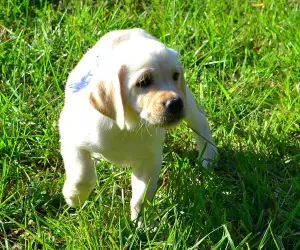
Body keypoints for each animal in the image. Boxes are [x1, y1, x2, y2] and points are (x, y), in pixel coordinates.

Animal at [59, 27, 218, 221]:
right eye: (144, 82)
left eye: (175, 76)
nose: (175, 103)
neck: (128, 126)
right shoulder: (71, 138)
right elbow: (82, 174)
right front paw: (75, 197)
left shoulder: (148, 160)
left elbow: (141, 198)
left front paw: (142, 224)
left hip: (188, 102)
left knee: (200, 120)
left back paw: (209, 156)